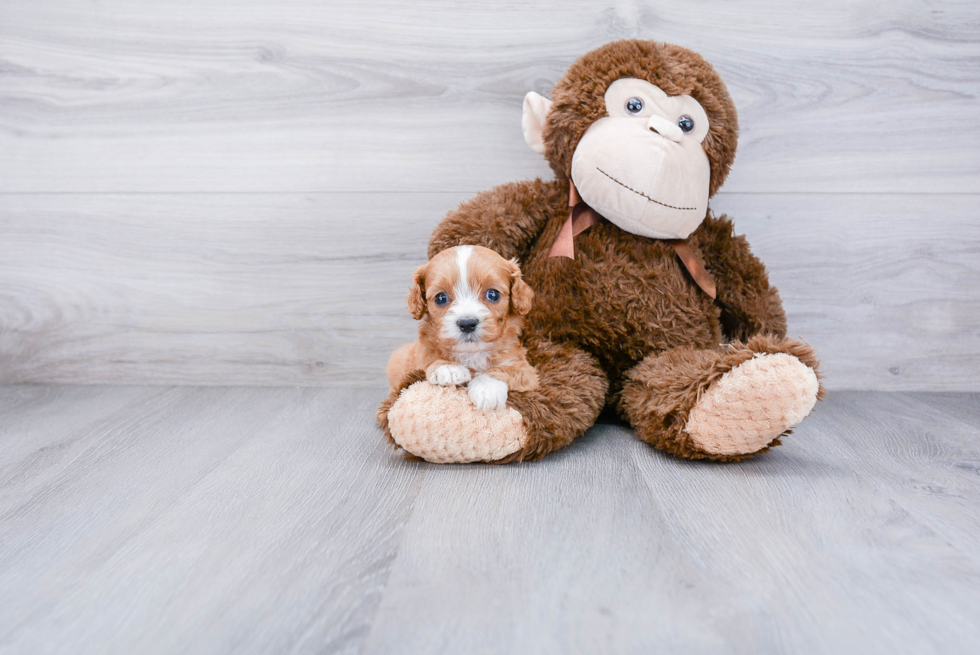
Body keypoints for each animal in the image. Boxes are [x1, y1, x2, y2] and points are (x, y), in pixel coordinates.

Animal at [386, 246, 540, 410]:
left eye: (493, 294)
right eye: (441, 298)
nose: (467, 324)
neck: (472, 352)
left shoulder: (526, 370)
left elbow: (507, 369)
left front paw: (487, 387)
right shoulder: (418, 358)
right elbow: (429, 359)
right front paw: (448, 367)